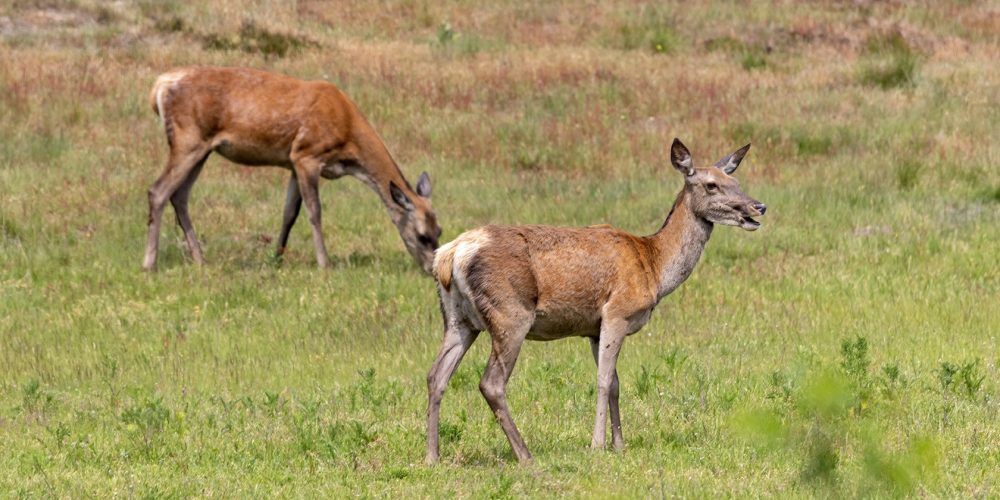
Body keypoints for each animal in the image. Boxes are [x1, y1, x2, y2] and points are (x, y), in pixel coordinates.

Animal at [143, 66, 440, 274]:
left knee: (179, 195)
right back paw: (150, 264)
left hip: (202, 148)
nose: (433, 270)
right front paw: (324, 263)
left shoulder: (292, 162)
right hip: (188, 138)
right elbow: (314, 211)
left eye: (440, 231)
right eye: (422, 236)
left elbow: (289, 213)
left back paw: (199, 259)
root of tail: (158, 87)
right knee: (158, 191)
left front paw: (277, 258)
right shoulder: (307, 154)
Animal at [426, 139, 768, 462]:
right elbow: (604, 380)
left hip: (459, 319)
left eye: (735, 180)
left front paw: (620, 444)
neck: (654, 267)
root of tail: (450, 254)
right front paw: (598, 444)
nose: (758, 207)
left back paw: (433, 456)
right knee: (491, 383)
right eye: (711, 185)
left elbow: (615, 383)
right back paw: (524, 454)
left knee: (436, 375)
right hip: (510, 313)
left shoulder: (593, 328)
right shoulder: (617, 312)